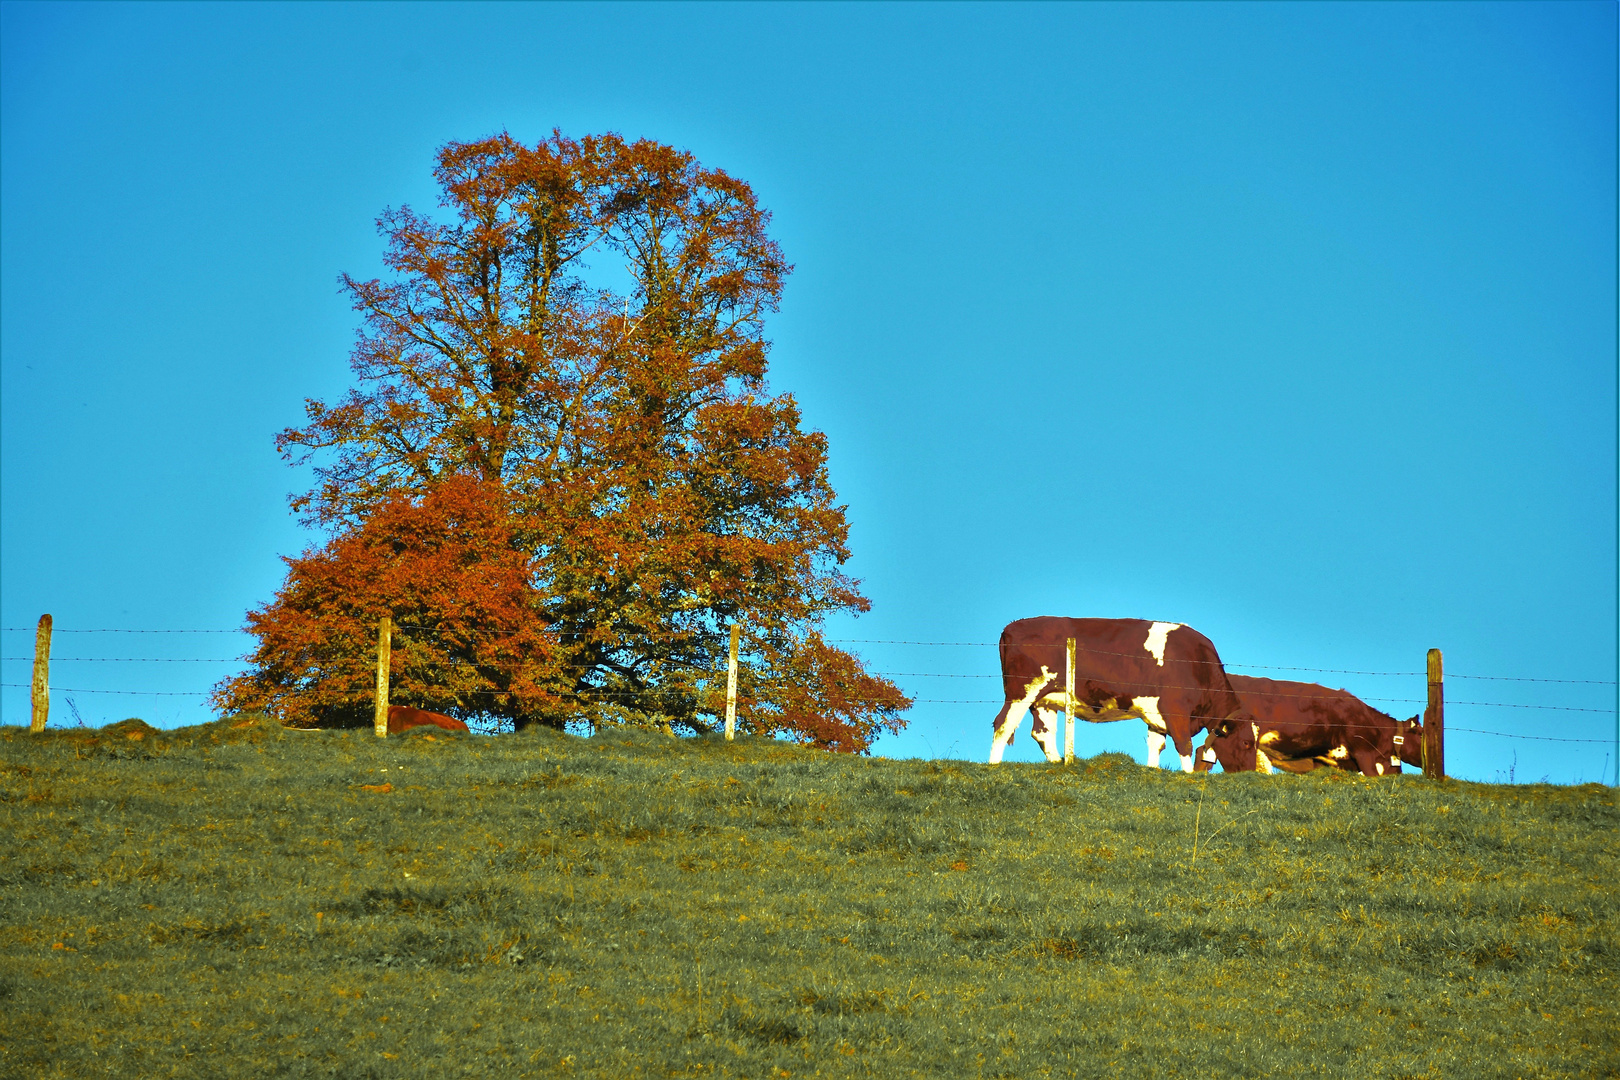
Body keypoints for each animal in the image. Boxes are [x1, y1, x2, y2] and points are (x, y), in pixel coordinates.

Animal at [984, 615, 1250, 767]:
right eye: (1247, 743)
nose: (1252, 774)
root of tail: (1011, 628)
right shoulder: (1175, 709)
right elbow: (1183, 745)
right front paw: (1186, 777)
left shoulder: (1156, 713)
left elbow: (1156, 745)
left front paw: (1152, 770)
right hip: (1023, 690)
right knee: (1003, 724)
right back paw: (994, 767)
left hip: (1045, 699)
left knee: (1042, 733)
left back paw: (1059, 763)